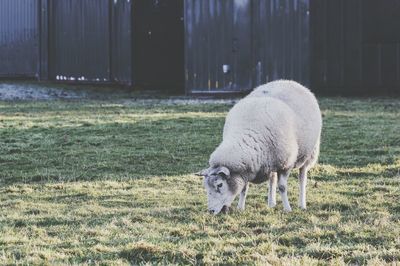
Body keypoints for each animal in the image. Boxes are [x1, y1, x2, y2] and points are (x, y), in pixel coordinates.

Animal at [200, 79, 322, 214]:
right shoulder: (246, 170)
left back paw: (302, 204)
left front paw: (287, 209)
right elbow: (244, 188)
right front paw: (240, 207)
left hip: (309, 153)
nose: (211, 211)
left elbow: (282, 187)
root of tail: (288, 81)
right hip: (272, 160)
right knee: (272, 179)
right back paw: (271, 202)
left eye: (220, 185)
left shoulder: (285, 164)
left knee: (302, 177)